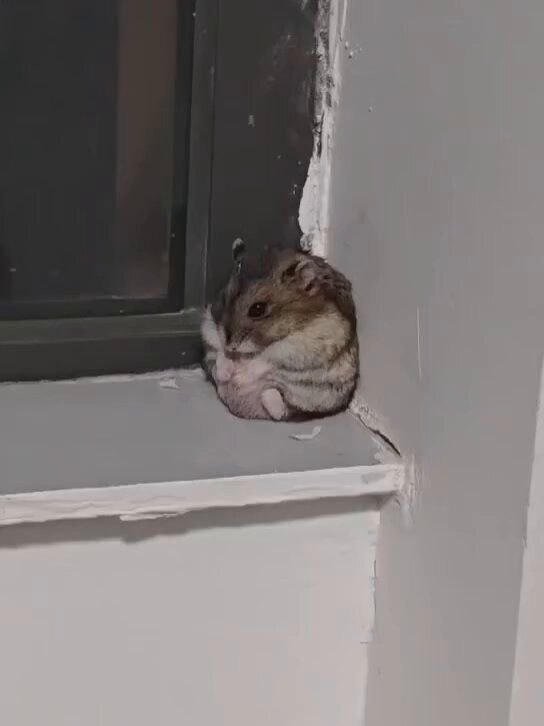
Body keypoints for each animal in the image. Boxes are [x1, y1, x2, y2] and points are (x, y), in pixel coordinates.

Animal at [201, 240, 359, 421]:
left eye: (258, 309)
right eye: (224, 297)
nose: (230, 345)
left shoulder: (295, 348)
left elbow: (264, 359)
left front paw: (239, 376)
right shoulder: (211, 331)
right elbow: (221, 353)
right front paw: (229, 372)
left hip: (314, 399)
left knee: (280, 408)